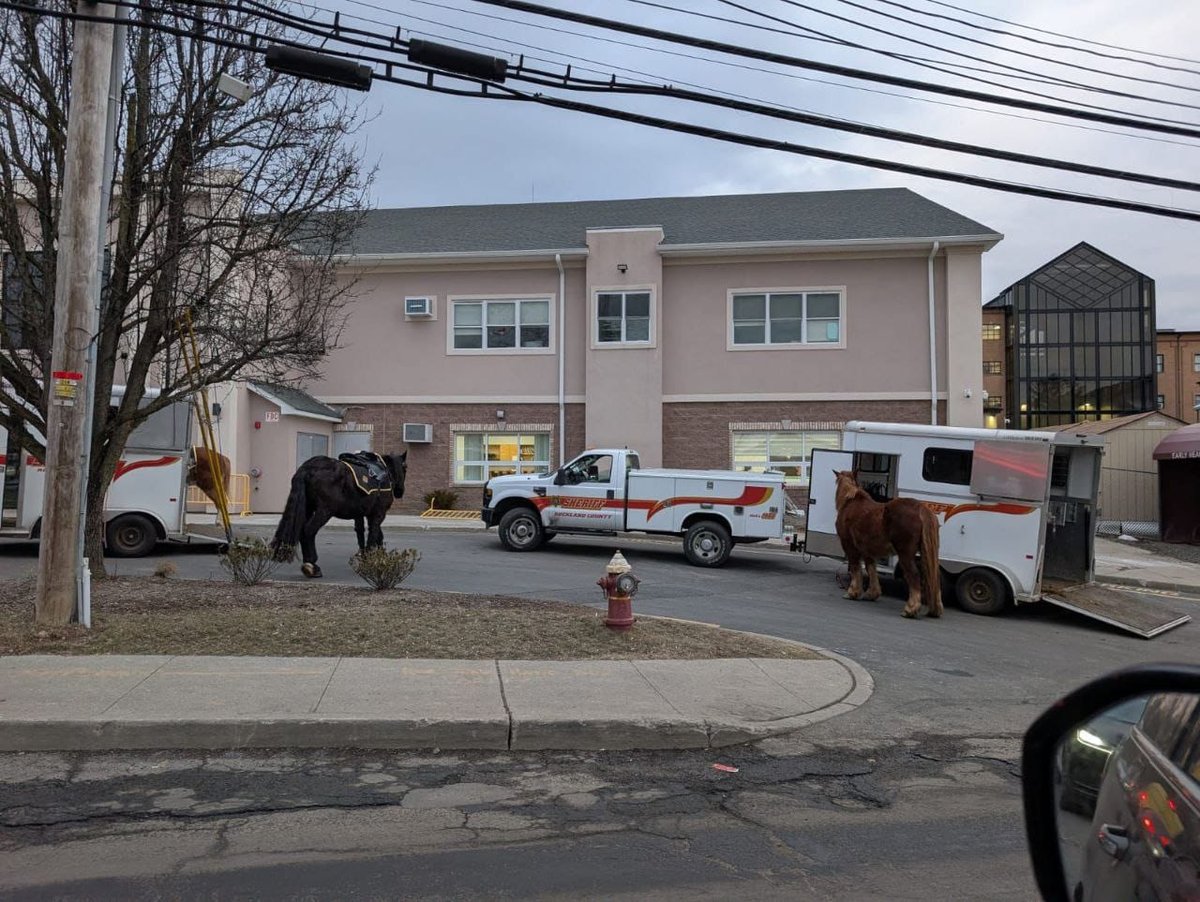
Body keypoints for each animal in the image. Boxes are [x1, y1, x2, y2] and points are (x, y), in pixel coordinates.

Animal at [270, 451, 405, 578]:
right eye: (405, 467)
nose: (400, 491)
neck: (385, 472)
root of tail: (308, 468)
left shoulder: (362, 514)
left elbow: (366, 534)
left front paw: (372, 557)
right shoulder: (378, 513)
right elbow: (373, 535)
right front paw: (371, 559)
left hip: (307, 508)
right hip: (324, 511)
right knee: (308, 531)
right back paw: (312, 565)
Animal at [835, 467, 936, 618]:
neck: (850, 503)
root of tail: (919, 508)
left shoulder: (849, 546)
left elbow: (855, 568)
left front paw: (852, 592)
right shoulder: (867, 550)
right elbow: (871, 568)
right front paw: (872, 594)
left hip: (905, 555)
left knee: (914, 576)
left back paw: (910, 609)